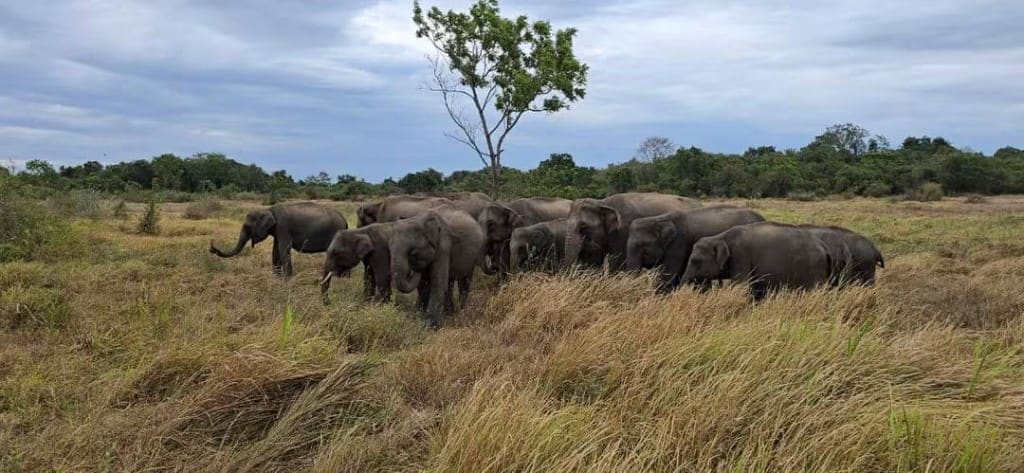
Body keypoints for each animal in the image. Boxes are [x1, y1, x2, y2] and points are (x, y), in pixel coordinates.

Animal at [209, 202, 348, 277]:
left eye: (247, 227)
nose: (211, 248)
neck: (268, 209)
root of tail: (345, 222)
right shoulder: (277, 231)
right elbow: (275, 251)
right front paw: (276, 278)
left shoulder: (283, 227)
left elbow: (283, 250)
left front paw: (286, 280)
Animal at [679, 222, 833, 300]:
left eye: (695, 260)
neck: (720, 237)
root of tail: (824, 247)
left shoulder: (741, 257)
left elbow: (741, 285)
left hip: (813, 269)